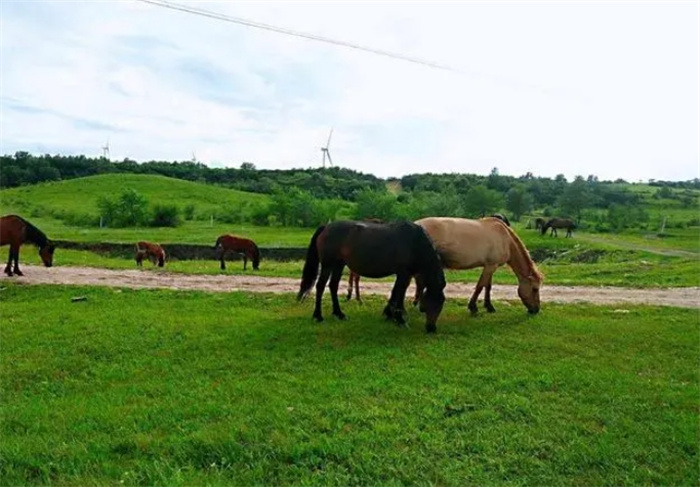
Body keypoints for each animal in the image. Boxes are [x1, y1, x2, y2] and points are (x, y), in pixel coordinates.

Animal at [298, 222, 446, 334]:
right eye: (431, 303)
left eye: (441, 305)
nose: (432, 329)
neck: (415, 242)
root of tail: (326, 227)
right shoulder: (403, 273)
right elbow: (398, 293)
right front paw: (399, 319)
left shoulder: (405, 274)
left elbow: (397, 293)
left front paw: (390, 315)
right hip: (328, 265)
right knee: (320, 286)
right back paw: (318, 316)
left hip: (339, 265)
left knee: (333, 286)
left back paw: (339, 314)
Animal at [412, 217, 544, 316]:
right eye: (535, 289)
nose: (536, 309)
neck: (505, 238)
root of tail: (416, 224)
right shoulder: (491, 266)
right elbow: (480, 286)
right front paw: (473, 307)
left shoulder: (490, 266)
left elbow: (487, 286)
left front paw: (489, 306)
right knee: (421, 283)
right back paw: (421, 306)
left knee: (420, 283)